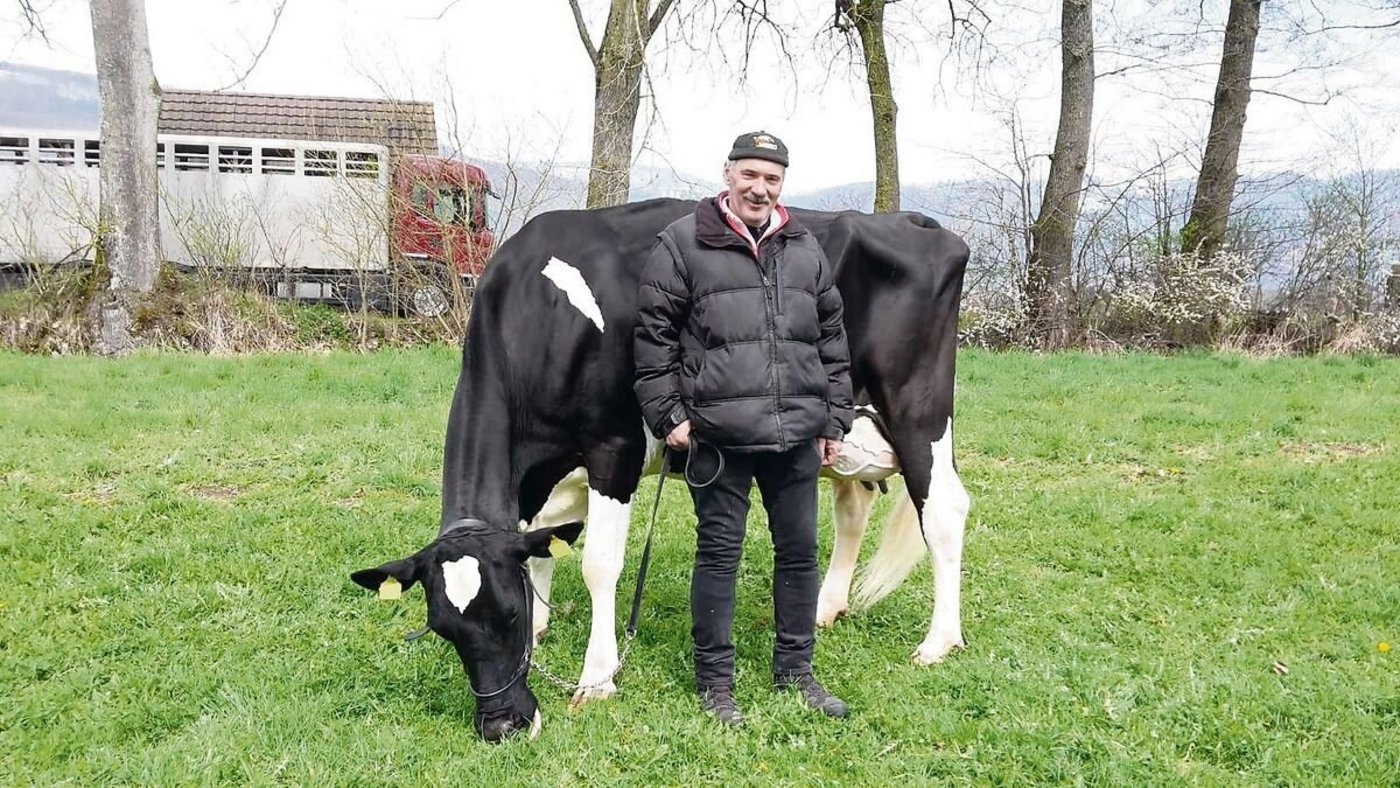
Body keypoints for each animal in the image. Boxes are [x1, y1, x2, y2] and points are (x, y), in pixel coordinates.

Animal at [352, 198, 970, 740]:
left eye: (507, 615)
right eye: (443, 630)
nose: (502, 726)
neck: (540, 314)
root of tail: (915, 221)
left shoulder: (614, 449)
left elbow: (598, 564)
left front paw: (596, 676)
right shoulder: (549, 473)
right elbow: (542, 544)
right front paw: (546, 625)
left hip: (918, 414)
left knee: (943, 510)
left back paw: (938, 642)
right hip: (845, 437)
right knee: (853, 507)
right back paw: (825, 608)